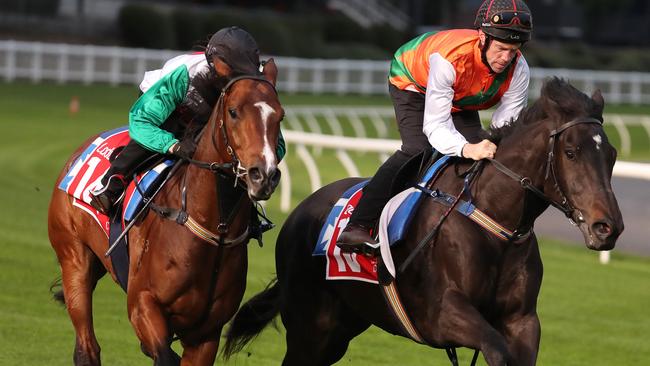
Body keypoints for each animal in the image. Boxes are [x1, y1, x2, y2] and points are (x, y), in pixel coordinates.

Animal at [49, 58, 282, 364]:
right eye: (233, 112)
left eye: (280, 117)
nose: (263, 175)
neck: (213, 232)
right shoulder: (143, 305)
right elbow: (162, 352)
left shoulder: (206, 333)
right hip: (74, 260)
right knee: (87, 348)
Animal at [221, 78, 624, 366]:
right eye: (570, 152)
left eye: (612, 154)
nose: (608, 227)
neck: (495, 225)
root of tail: (299, 213)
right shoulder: (442, 313)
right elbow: (496, 350)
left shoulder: (523, 320)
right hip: (311, 326)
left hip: (344, 324)